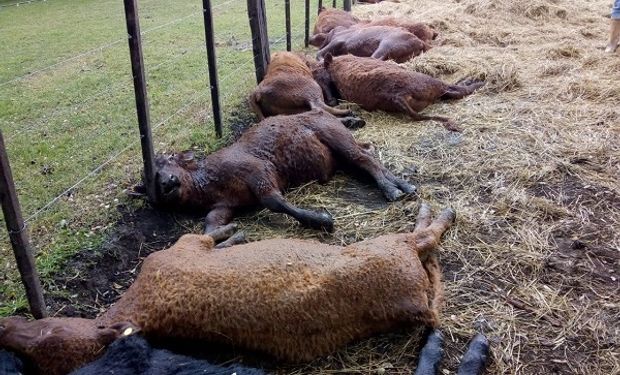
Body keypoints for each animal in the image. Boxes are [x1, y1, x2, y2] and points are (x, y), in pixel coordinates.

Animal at [0, 204, 456, 375]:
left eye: (42, 332)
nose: (3, 327)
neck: (134, 310)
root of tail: (415, 306)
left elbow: (211, 234)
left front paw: (233, 232)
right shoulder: (178, 250)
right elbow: (209, 234)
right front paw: (234, 232)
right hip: (391, 249)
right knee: (424, 239)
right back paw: (439, 212)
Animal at [153, 108, 414, 232]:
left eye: (169, 159)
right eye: (152, 177)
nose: (167, 182)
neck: (207, 182)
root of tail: (323, 113)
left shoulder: (258, 171)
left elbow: (274, 202)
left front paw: (321, 220)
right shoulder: (224, 207)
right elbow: (210, 224)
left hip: (336, 136)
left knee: (364, 158)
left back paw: (392, 190)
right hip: (342, 152)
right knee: (368, 155)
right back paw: (403, 186)